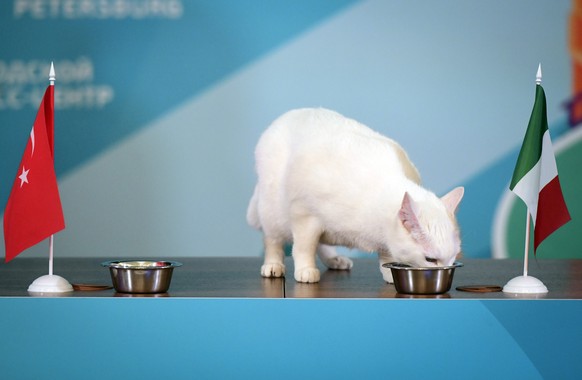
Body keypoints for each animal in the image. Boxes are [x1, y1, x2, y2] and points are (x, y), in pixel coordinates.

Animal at [246, 107, 466, 282]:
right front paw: (306, 269)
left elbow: (386, 256)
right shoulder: (305, 214)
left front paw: (389, 274)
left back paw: (334, 260)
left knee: (321, 243)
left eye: (453, 257)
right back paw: (273, 266)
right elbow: (303, 247)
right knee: (273, 240)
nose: (445, 270)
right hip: (273, 211)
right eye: (430, 260)